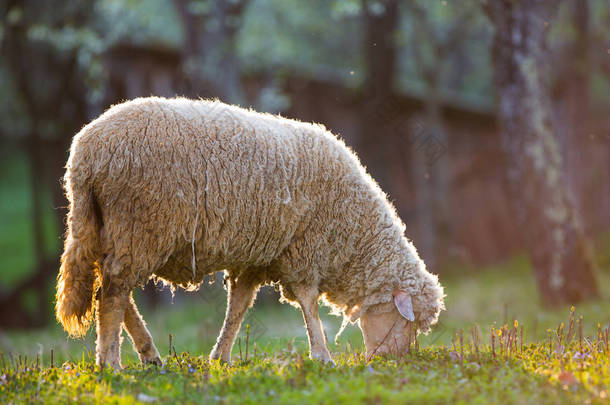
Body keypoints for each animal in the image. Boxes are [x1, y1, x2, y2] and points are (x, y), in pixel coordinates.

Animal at [54, 96, 442, 368]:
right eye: (406, 323)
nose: (393, 360)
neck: (353, 235)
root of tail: (85, 155)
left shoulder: (259, 256)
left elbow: (239, 306)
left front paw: (220, 356)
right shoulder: (304, 249)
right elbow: (308, 302)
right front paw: (322, 355)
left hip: (107, 227)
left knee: (110, 290)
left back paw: (149, 355)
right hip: (139, 226)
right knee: (113, 294)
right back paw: (112, 363)